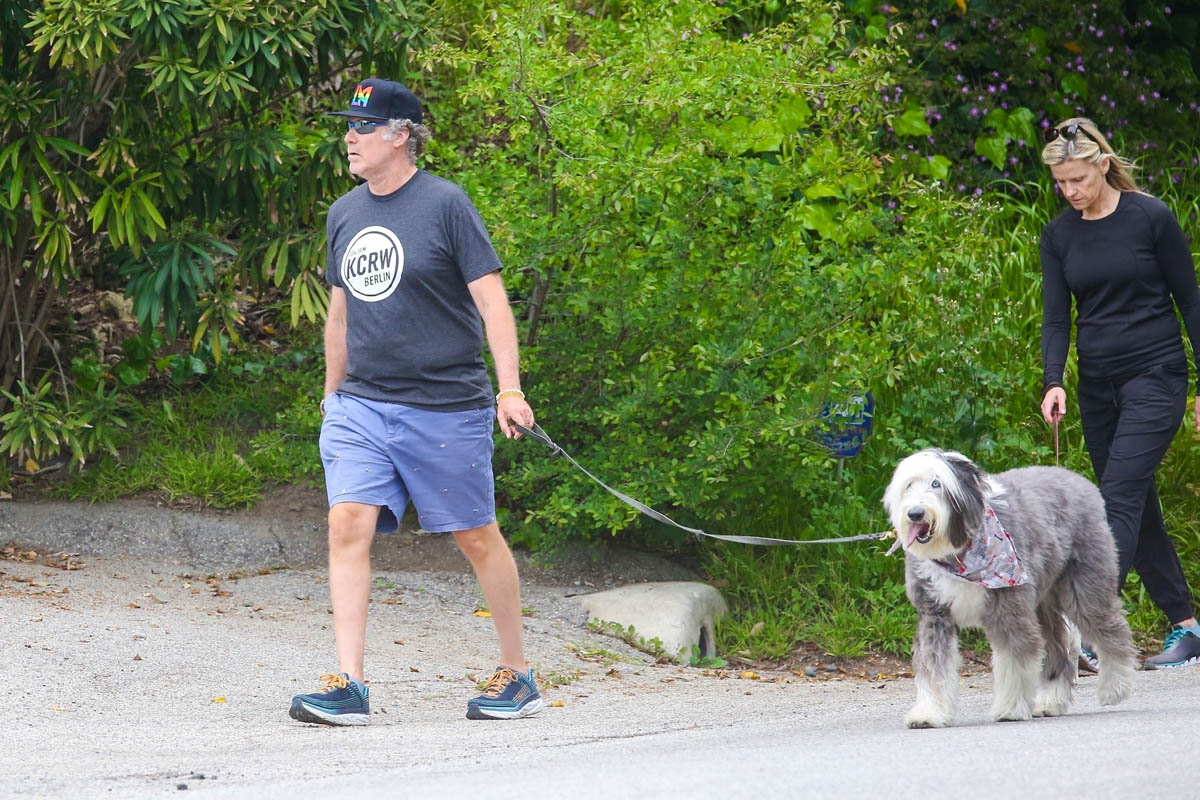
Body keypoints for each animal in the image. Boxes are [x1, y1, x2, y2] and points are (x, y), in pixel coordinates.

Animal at [883, 448, 1136, 728]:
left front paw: (1011, 709)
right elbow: (933, 664)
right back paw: (1051, 702)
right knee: (1057, 647)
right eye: (909, 485)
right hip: (1042, 601)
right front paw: (928, 713)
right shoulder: (934, 614)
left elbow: (1015, 659)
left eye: (937, 484)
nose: (915, 513)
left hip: (1084, 585)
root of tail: (1077, 479)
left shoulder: (1007, 608)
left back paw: (1115, 688)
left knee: (1111, 630)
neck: (958, 553)